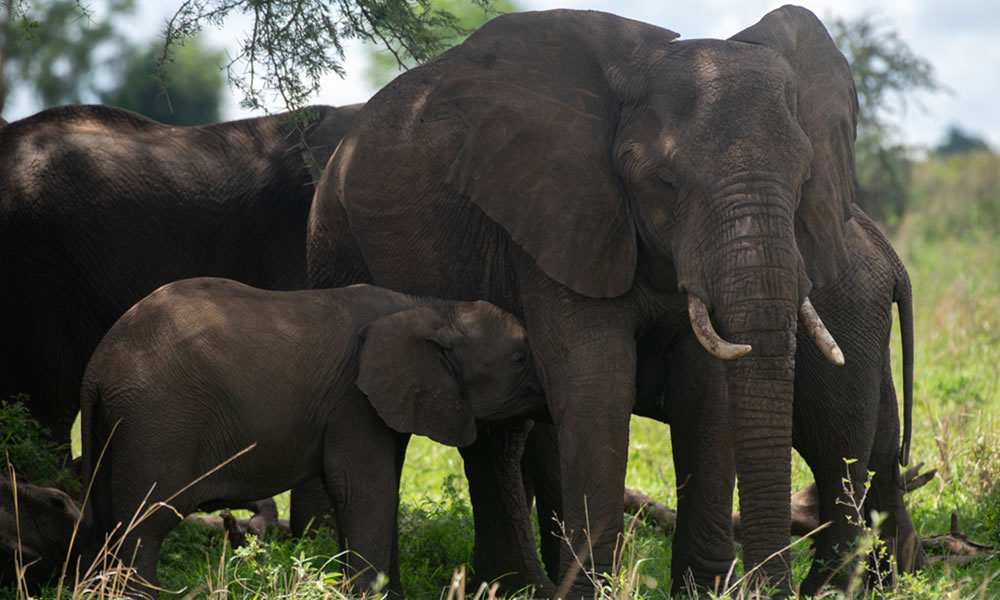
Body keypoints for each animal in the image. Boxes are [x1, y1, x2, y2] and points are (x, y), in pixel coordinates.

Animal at [78, 278, 548, 596]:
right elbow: (364, 491)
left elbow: (375, 493)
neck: (430, 308)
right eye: (520, 357)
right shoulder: (353, 402)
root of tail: (97, 367)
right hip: (158, 422)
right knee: (147, 519)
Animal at [308, 8, 856, 596]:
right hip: (334, 236)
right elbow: (597, 384)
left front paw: (702, 590)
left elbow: (705, 396)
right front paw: (596, 589)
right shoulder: (558, 215)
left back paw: (512, 585)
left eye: (805, 177)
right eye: (666, 181)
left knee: (496, 436)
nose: (770, 586)